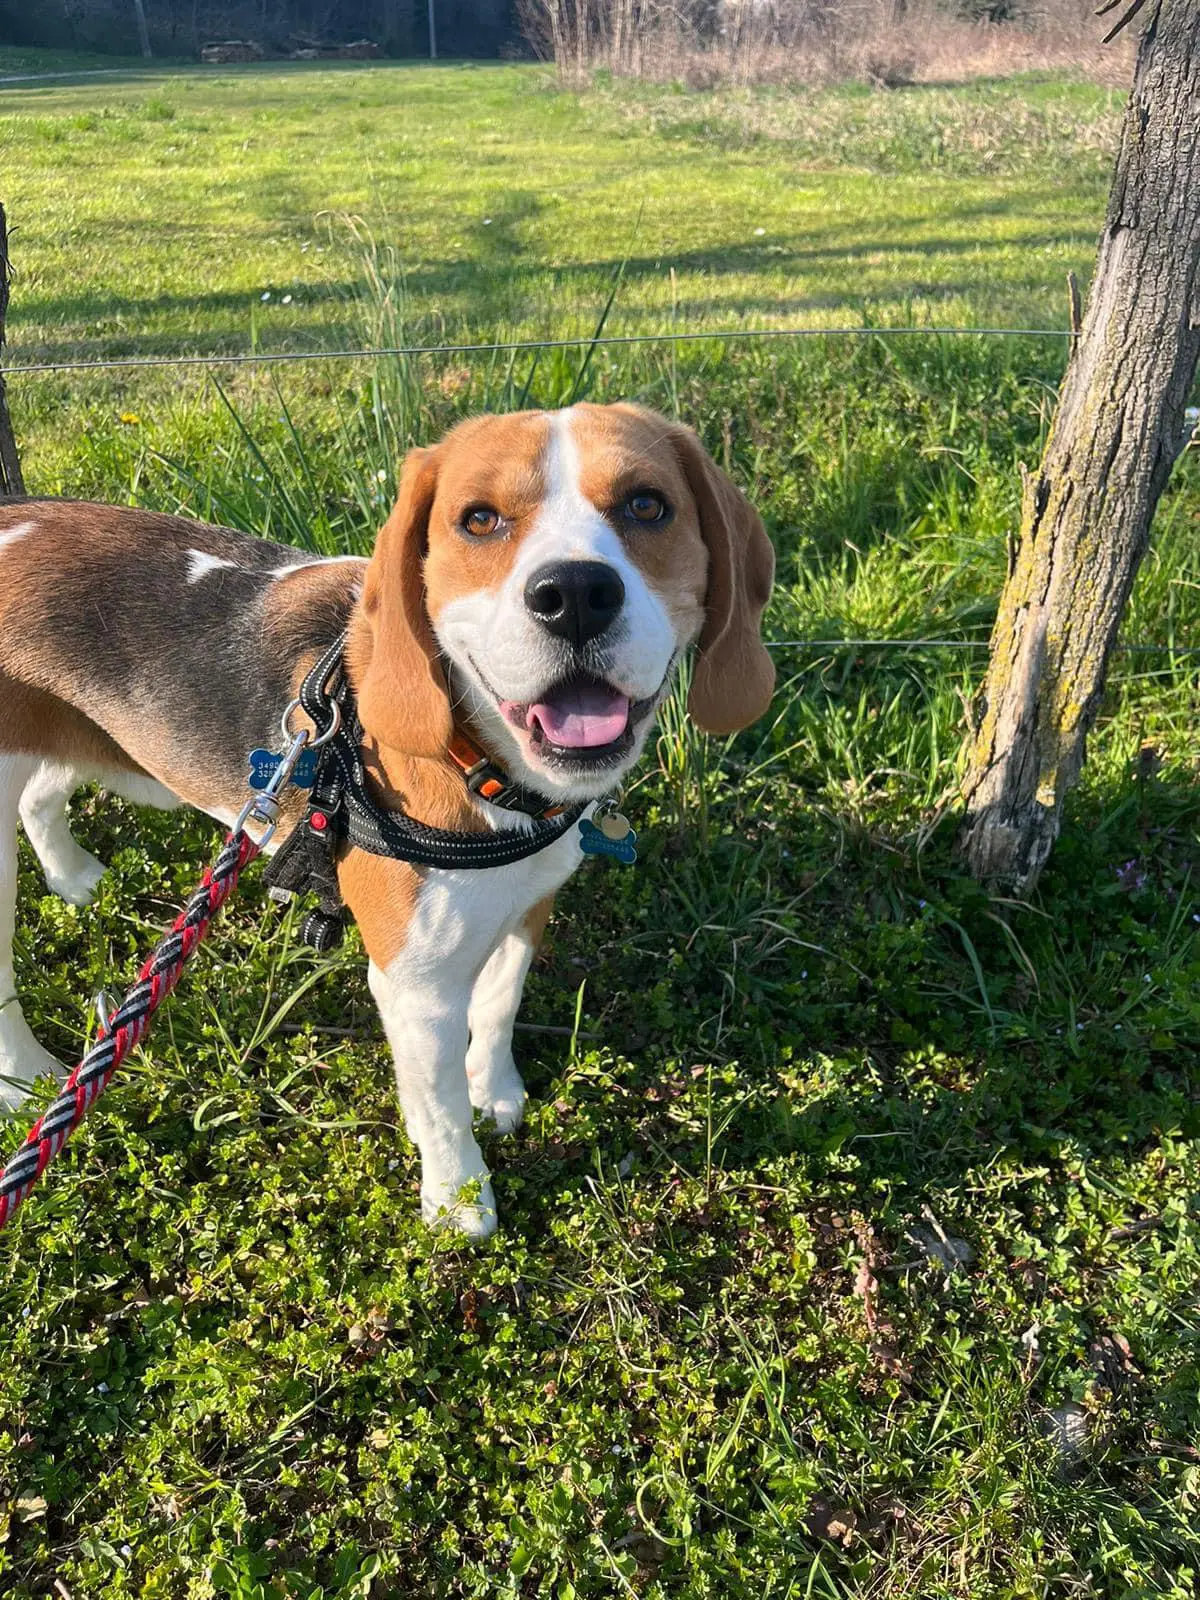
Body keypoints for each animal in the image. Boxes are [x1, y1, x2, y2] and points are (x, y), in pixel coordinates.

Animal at [0, 403, 774, 1235]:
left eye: (647, 506)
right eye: (479, 519)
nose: (573, 593)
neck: (481, 764)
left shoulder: (528, 907)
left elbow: (498, 1007)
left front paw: (496, 1091)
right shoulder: (415, 986)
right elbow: (439, 1108)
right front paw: (460, 1203)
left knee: (40, 797)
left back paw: (76, 878)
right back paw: (27, 1079)